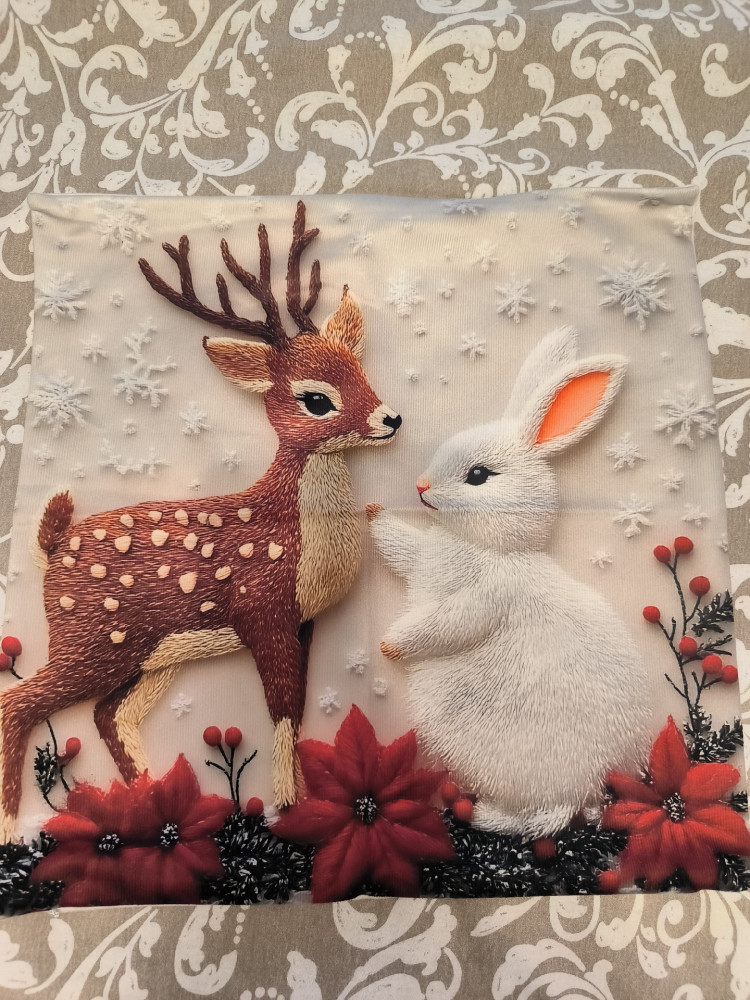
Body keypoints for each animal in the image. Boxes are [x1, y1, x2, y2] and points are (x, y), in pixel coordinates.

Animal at [0, 200, 402, 841]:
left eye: (358, 371)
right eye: (317, 399)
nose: (391, 418)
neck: (296, 529)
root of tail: (52, 544)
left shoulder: (304, 622)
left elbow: (297, 709)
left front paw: (302, 801)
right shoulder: (264, 608)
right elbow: (280, 710)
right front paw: (287, 807)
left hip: (146, 656)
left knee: (108, 715)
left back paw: (154, 802)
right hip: (89, 640)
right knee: (19, 705)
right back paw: (16, 827)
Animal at [368, 325, 653, 839]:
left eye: (479, 475)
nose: (420, 487)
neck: (489, 546)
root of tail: (591, 783)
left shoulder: (488, 597)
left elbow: (448, 623)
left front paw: (392, 646)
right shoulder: (421, 558)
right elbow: (401, 544)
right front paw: (372, 512)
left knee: (545, 816)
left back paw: (483, 814)